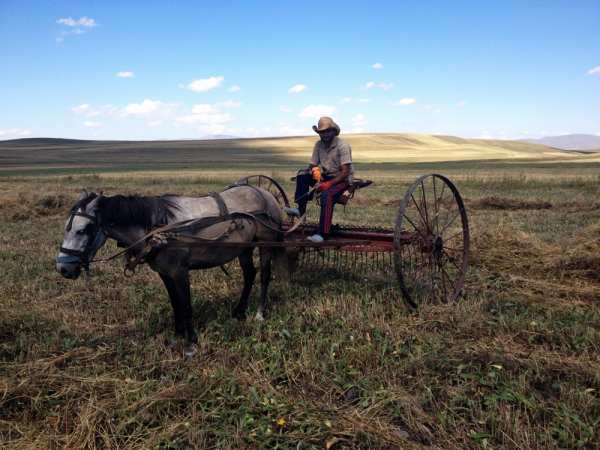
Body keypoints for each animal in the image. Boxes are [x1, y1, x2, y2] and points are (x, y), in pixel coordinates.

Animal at [55, 185, 284, 356]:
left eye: (83, 230)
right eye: (66, 227)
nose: (63, 268)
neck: (158, 228)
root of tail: (265, 193)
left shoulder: (179, 272)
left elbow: (186, 305)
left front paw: (191, 342)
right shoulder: (165, 273)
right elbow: (175, 304)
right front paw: (177, 335)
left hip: (266, 244)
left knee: (264, 276)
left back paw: (259, 314)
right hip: (243, 248)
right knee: (249, 275)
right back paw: (239, 311)